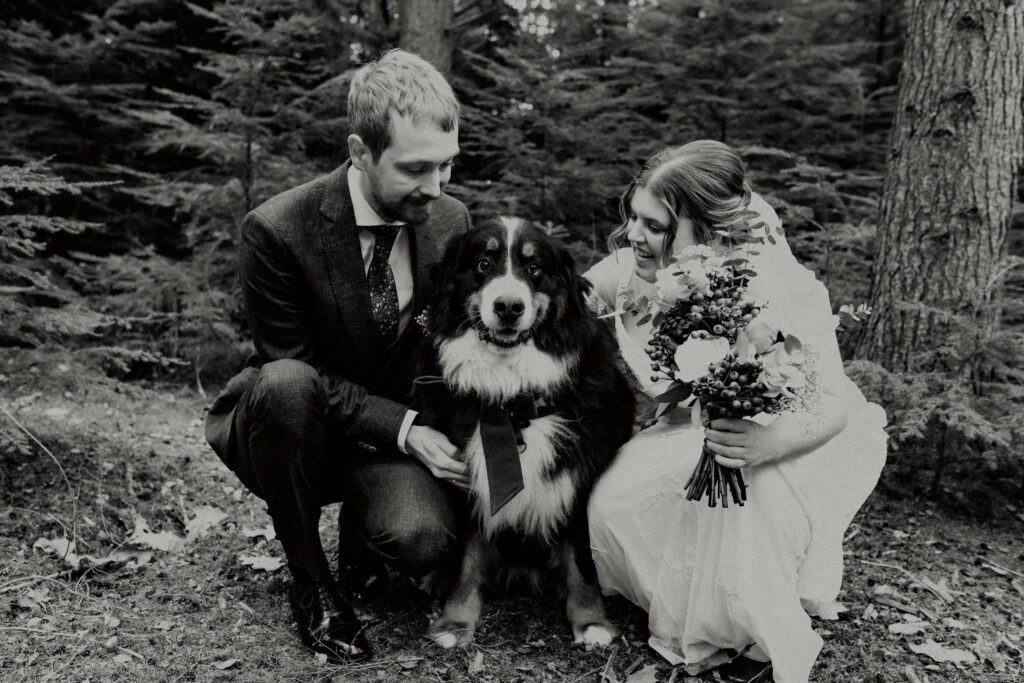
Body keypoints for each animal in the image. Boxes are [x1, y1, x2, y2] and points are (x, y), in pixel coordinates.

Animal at [412, 217, 635, 649]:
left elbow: (581, 560)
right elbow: (466, 559)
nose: (509, 307)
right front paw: (454, 622)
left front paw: (591, 621)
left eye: (534, 268)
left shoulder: (577, 479)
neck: (512, 399)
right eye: (483, 264)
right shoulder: (467, 481)